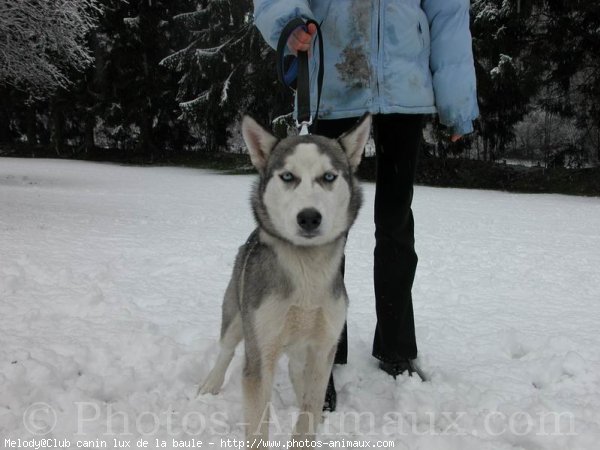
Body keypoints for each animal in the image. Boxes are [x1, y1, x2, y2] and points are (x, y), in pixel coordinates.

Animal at [199, 112, 372, 442]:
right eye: (288, 176)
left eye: (328, 177)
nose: (309, 217)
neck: (307, 272)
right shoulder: (260, 352)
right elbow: (257, 429)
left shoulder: (323, 348)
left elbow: (309, 411)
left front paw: (310, 426)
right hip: (237, 314)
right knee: (226, 348)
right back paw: (210, 384)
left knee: (295, 370)